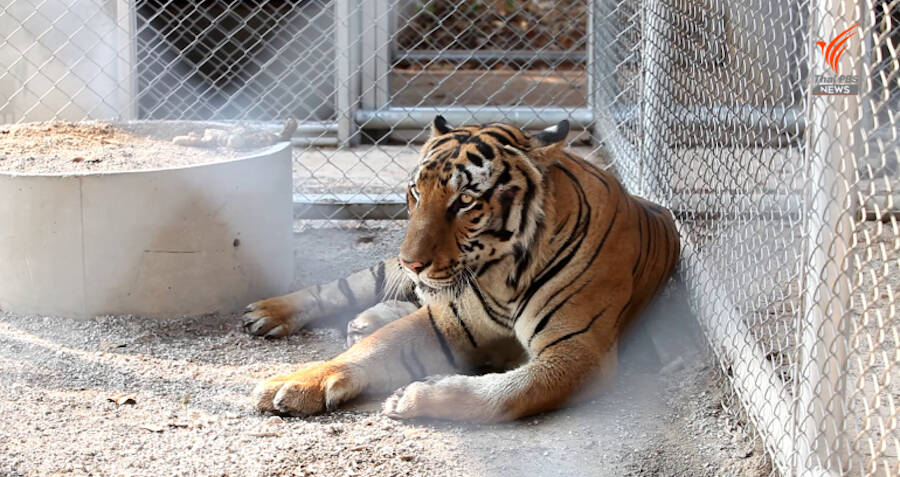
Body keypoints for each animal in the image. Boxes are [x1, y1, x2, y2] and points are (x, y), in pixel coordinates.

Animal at [243, 117, 680, 422]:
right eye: (416, 192)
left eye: (465, 201)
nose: (412, 262)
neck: (506, 275)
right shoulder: (447, 321)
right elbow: (375, 347)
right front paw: (298, 382)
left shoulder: (578, 351)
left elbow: (511, 393)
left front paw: (414, 397)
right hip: (385, 273)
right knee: (339, 289)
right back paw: (268, 312)